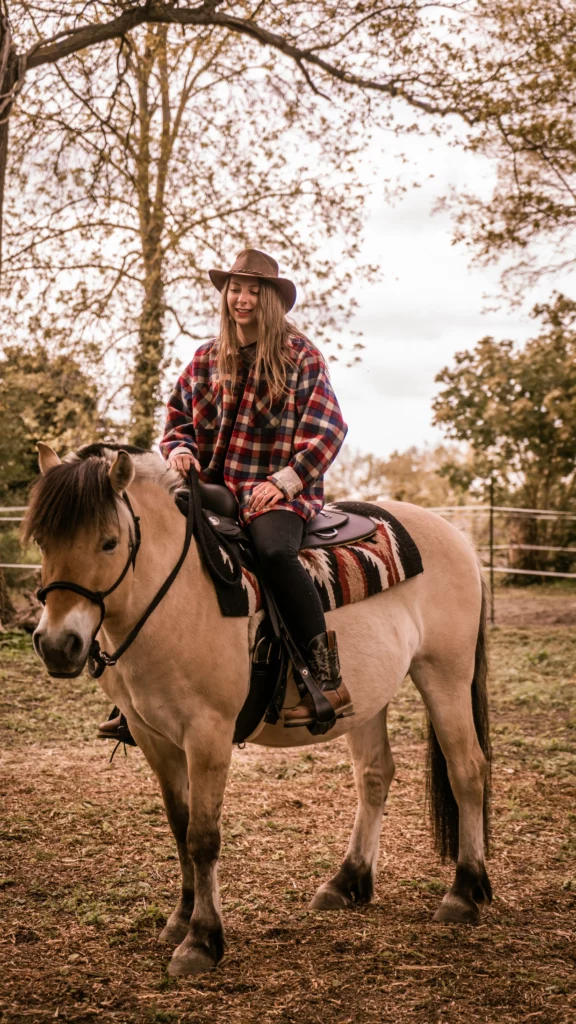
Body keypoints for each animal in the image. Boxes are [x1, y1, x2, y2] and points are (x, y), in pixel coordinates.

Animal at [26, 446, 491, 974]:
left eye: (108, 543)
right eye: (42, 540)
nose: (58, 644)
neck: (178, 593)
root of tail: (457, 538)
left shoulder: (207, 735)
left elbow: (203, 836)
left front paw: (202, 939)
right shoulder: (153, 738)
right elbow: (179, 826)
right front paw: (181, 918)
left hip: (444, 676)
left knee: (467, 770)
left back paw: (463, 892)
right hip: (368, 698)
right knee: (375, 775)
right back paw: (347, 880)